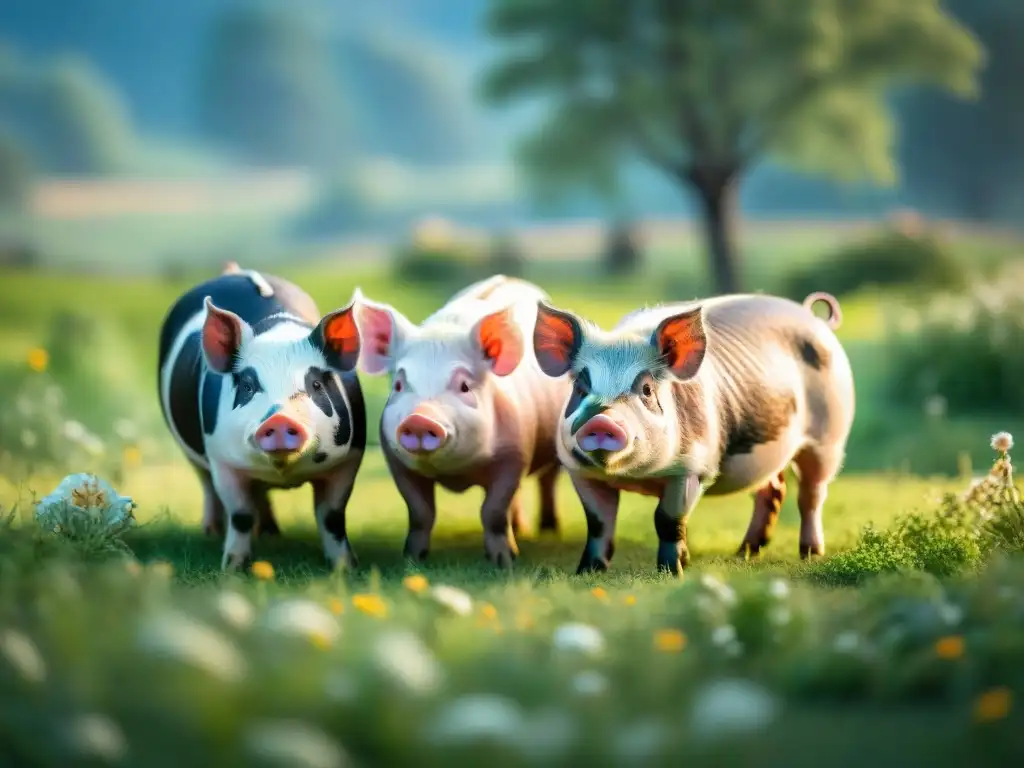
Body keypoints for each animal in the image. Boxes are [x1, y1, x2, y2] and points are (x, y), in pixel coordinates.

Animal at [157, 266, 366, 571]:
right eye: (247, 386)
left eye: (316, 384)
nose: (279, 420)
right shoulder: (223, 462)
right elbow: (240, 514)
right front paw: (233, 567)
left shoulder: (348, 462)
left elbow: (332, 517)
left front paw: (345, 568)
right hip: (190, 453)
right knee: (207, 485)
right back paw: (212, 532)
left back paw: (270, 533)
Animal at [354, 275, 573, 567]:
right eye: (399, 385)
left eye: (465, 386)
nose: (419, 418)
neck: (457, 473)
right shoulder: (397, 462)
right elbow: (420, 511)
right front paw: (413, 559)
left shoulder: (515, 455)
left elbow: (493, 510)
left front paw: (504, 561)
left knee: (548, 481)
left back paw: (548, 530)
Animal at [532, 291, 855, 575]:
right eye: (580, 388)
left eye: (646, 389)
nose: (601, 421)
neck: (635, 476)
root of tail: (813, 317)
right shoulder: (581, 473)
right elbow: (599, 524)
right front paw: (587, 572)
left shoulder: (690, 469)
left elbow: (667, 520)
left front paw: (672, 572)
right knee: (772, 489)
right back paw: (746, 552)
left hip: (829, 439)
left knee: (812, 494)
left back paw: (810, 553)